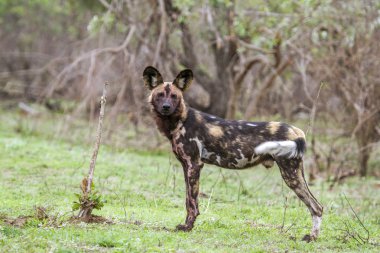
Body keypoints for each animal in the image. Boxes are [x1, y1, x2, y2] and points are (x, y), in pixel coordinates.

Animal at [142, 66, 324, 242]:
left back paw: (311, 238)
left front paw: (187, 228)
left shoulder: (194, 165)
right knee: (317, 206)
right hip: (295, 173)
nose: (166, 107)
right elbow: (188, 200)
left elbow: (192, 203)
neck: (180, 121)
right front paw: (188, 226)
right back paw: (312, 237)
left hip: (290, 175)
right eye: (160, 95)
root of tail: (297, 130)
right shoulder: (186, 166)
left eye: (174, 96)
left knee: (316, 207)